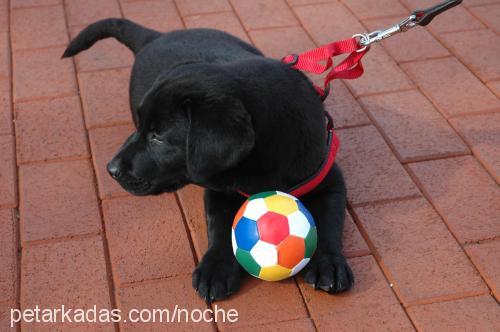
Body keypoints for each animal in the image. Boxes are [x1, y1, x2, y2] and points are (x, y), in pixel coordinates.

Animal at [63, 18, 352, 304]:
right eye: (148, 130)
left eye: (158, 136)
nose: (111, 169)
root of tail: (156, 36)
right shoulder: (218, 187)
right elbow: (219, 227)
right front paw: (215, 270)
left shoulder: (329, 178)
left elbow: (329, 222)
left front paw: (329, 265)